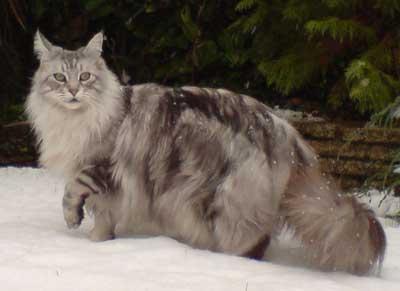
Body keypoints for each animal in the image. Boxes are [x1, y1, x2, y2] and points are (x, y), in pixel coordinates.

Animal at [25, 31, 384, 276]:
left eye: (85, 77)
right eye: (59, 77)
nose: (73, 91)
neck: (78, 120)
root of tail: (286, 131)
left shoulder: (101, 169)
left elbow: (73, 192)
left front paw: (75, 222)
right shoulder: (110, 193)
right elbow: (104, 222)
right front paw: (99, 244)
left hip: (219, 197)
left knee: (247, 241)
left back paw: (217, 261)